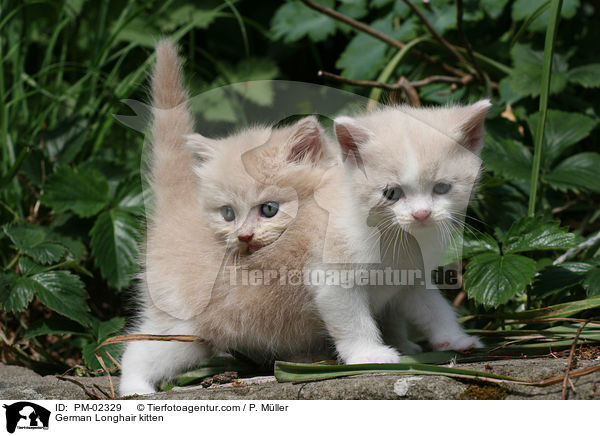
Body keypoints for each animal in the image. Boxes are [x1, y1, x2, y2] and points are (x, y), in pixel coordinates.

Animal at [330, 102, 490, 354]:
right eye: (392, 193)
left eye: (441, 188)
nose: (422, 213)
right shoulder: (333, 276)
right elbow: (351, 319)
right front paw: (368, 353)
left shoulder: (413, 278)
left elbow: (434, 308)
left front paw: (455, 338)